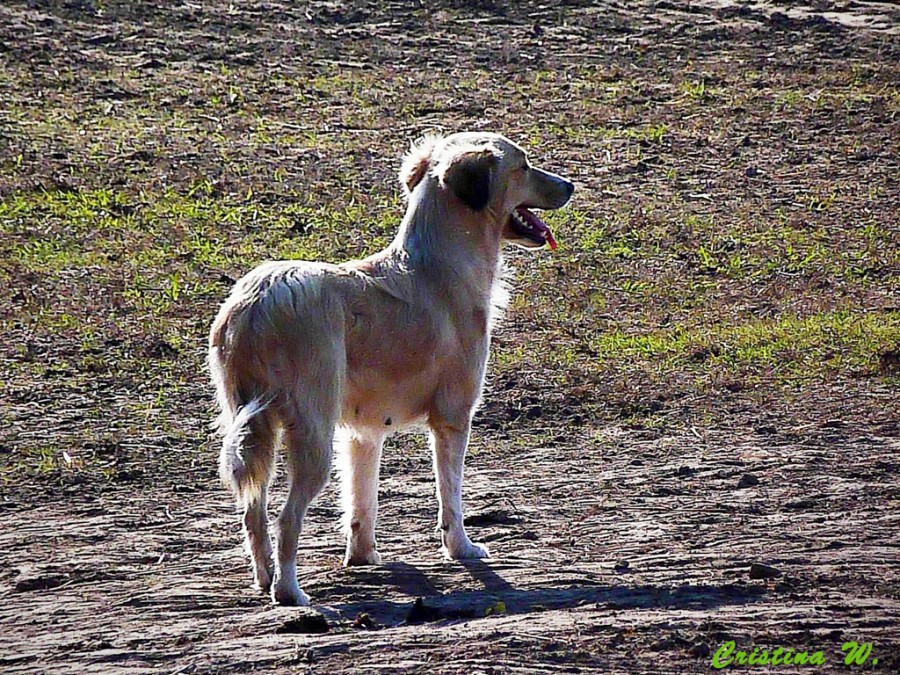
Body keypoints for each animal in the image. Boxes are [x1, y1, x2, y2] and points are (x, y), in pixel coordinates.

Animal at [207, 132, 572, 608]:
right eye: (524, 166)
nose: (570, 186)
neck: (439, 263)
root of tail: (256, 303)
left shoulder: (361, 435)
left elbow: (362, 503)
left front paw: (363, 559)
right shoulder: (453, 419)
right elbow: (451, 496)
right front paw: (461, 549)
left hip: (253, 430)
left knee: (253, 512)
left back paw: (265, 580)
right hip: (312, 434)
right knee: (286, 519)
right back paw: (289, 592)